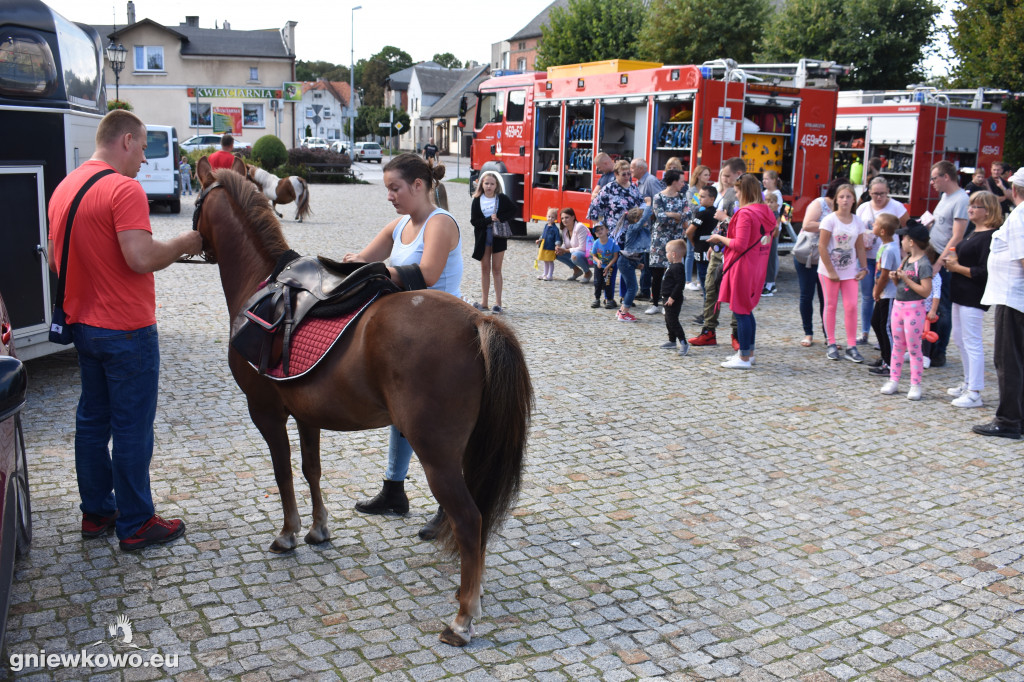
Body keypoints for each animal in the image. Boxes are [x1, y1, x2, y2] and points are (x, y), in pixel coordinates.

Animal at [190, 164, 536, 643]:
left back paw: (462, 619)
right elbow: (311, 469)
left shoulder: (266, 413)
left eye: (197, 201)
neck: (262, 286)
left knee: (469, 519)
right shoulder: (307, 415)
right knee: (476, 517)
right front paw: (318, 529)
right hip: (464, 450)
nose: (194, 243)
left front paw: (288, 534)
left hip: (436, 453)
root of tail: (477, 319)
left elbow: (282, 474)